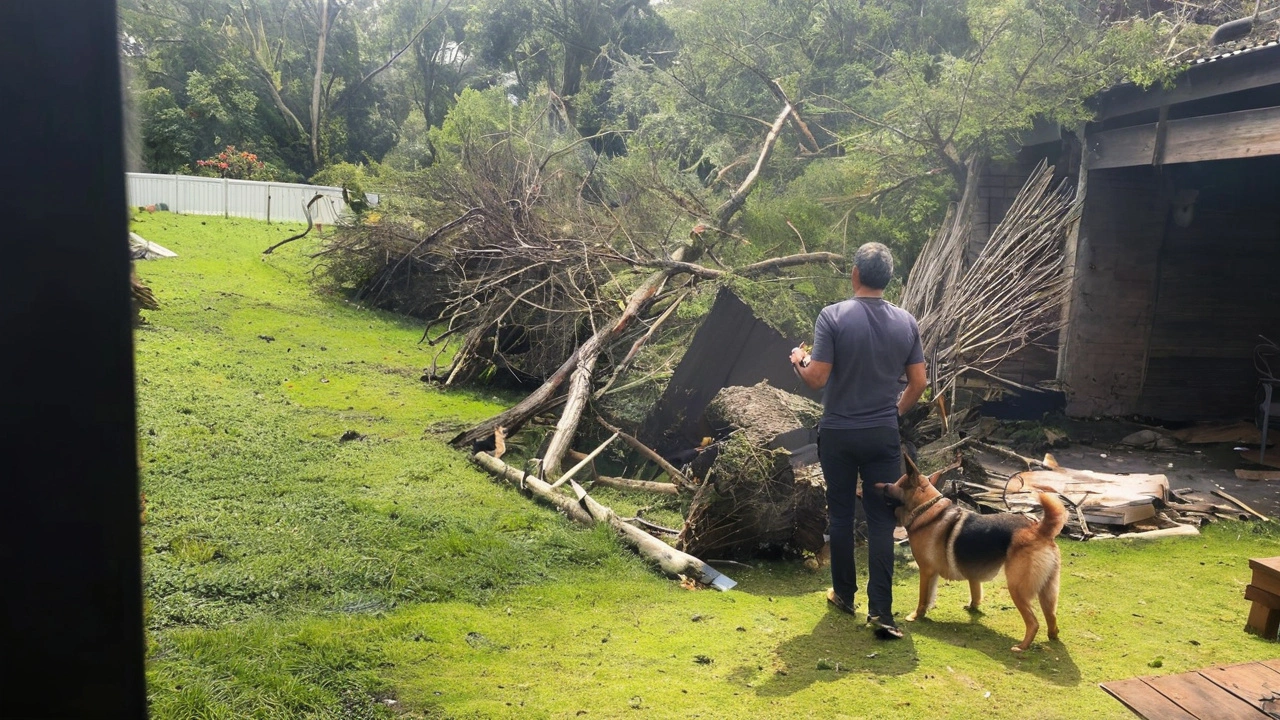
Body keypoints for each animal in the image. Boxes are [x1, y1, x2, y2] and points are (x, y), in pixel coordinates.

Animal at [880, 453, 1070, 650]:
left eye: (896, 484)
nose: (878, 486)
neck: (926, 509)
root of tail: (1040, 530)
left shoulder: (926, 571)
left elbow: (923, 598)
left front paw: (916, 616)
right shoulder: (969, 572)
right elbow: (974, 590)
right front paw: (973, 606)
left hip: (1017, 588)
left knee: (1033, 622)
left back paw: (1021, 647)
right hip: (1047, 591)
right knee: (1051, 617)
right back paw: (1052, 636)